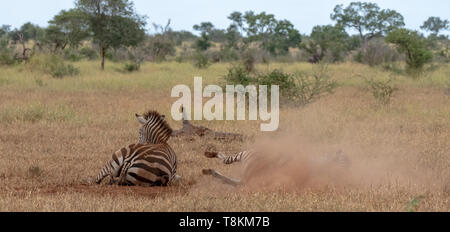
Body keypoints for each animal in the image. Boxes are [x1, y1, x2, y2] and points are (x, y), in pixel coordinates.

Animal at [202, 147, 350, 187]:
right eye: (345, 160)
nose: (350, 166)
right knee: (225, 161)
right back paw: (208, 157)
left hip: (244, 173)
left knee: (225, 168)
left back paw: (208, 168)